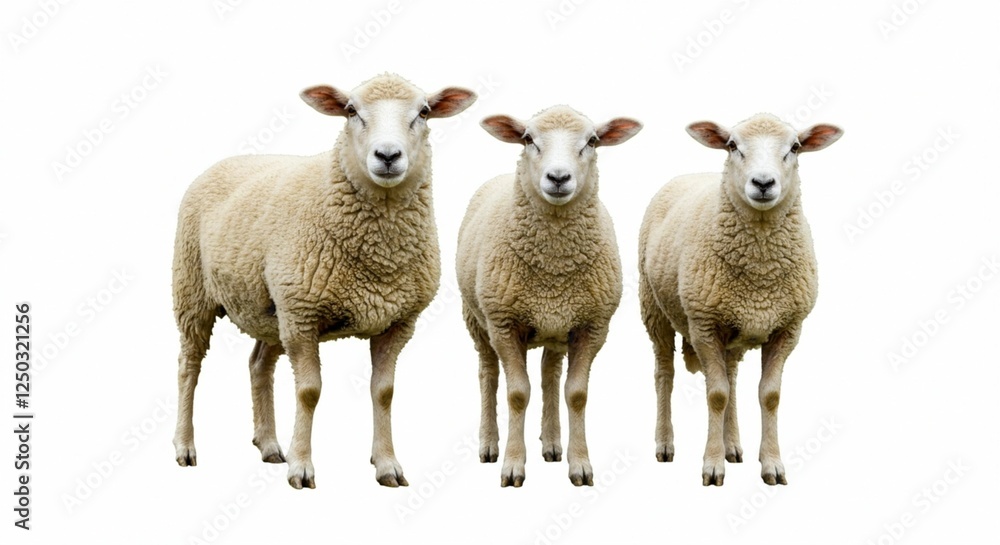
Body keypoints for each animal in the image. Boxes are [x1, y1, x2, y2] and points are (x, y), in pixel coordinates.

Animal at [171, 73, 477, 489]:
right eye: (351, 110)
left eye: (424, 112)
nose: (387, 156)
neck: (379, 254)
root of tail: (230, 159)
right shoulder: (302, 318)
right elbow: (309, 392)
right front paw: (301, 467)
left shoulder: (397, 322)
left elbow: (384, 392)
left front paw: (387, 465)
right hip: (193, 291)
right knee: (189, 366)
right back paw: (185, 446)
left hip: (272, 310)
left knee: (258, 365)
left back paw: (269, 445)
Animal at [457, 105, 642, 487]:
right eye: (528, 139)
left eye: (592, 141)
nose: (558, 178)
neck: (554, 267)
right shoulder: (504, 324)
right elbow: (516, 393)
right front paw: (513, 465)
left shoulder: (592, 326)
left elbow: (576, 393)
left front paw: (580, 464)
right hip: (476, 319)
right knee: (488, 374)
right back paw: (489, 444)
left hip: (556, 327)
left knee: (549, 375)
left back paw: (553, 443)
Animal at [638, 113, 842, 486]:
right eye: (732, 145)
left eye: (795, 147)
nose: (762, 183)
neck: (760, 268)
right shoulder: (704, 326)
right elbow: (715, 394)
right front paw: (712, 465)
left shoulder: (787, 329)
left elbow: (769, 395)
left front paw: (772, 464)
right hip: (654, 309)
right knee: (665, 373)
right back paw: (665, 443)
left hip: (732, 330)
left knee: (731, 377)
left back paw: (732, 446)